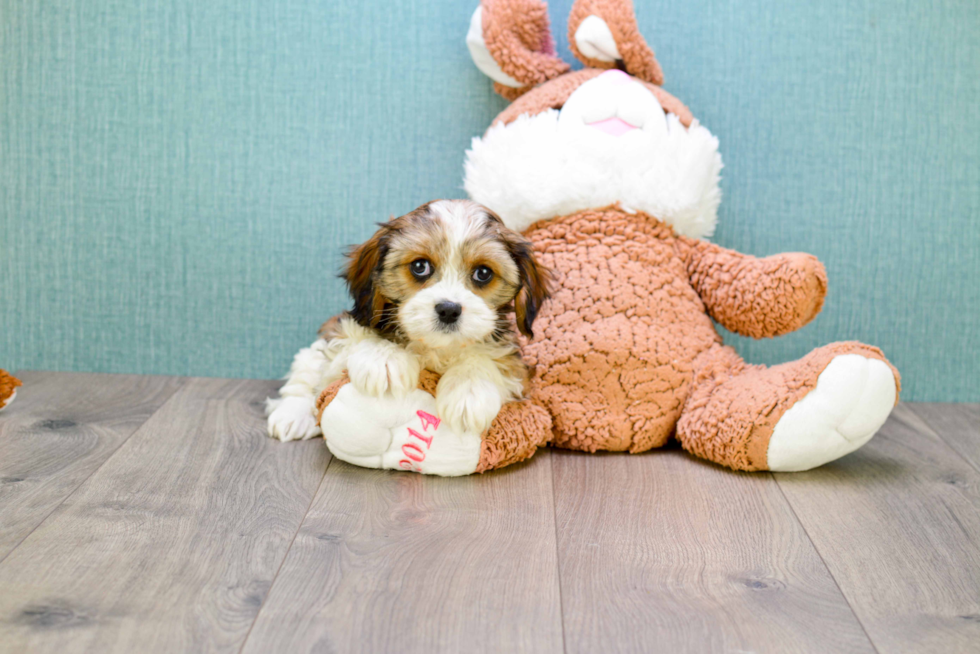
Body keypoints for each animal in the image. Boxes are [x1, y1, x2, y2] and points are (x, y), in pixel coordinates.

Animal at [264, 200, 552, 444]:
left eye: (483, 273)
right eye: (419, 266)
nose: (448, 310)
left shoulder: (517, 370)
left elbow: (491, 359)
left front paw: (469, 390)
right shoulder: (343, 332)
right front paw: (384, 358)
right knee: (303, 374)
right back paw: (293, 415)